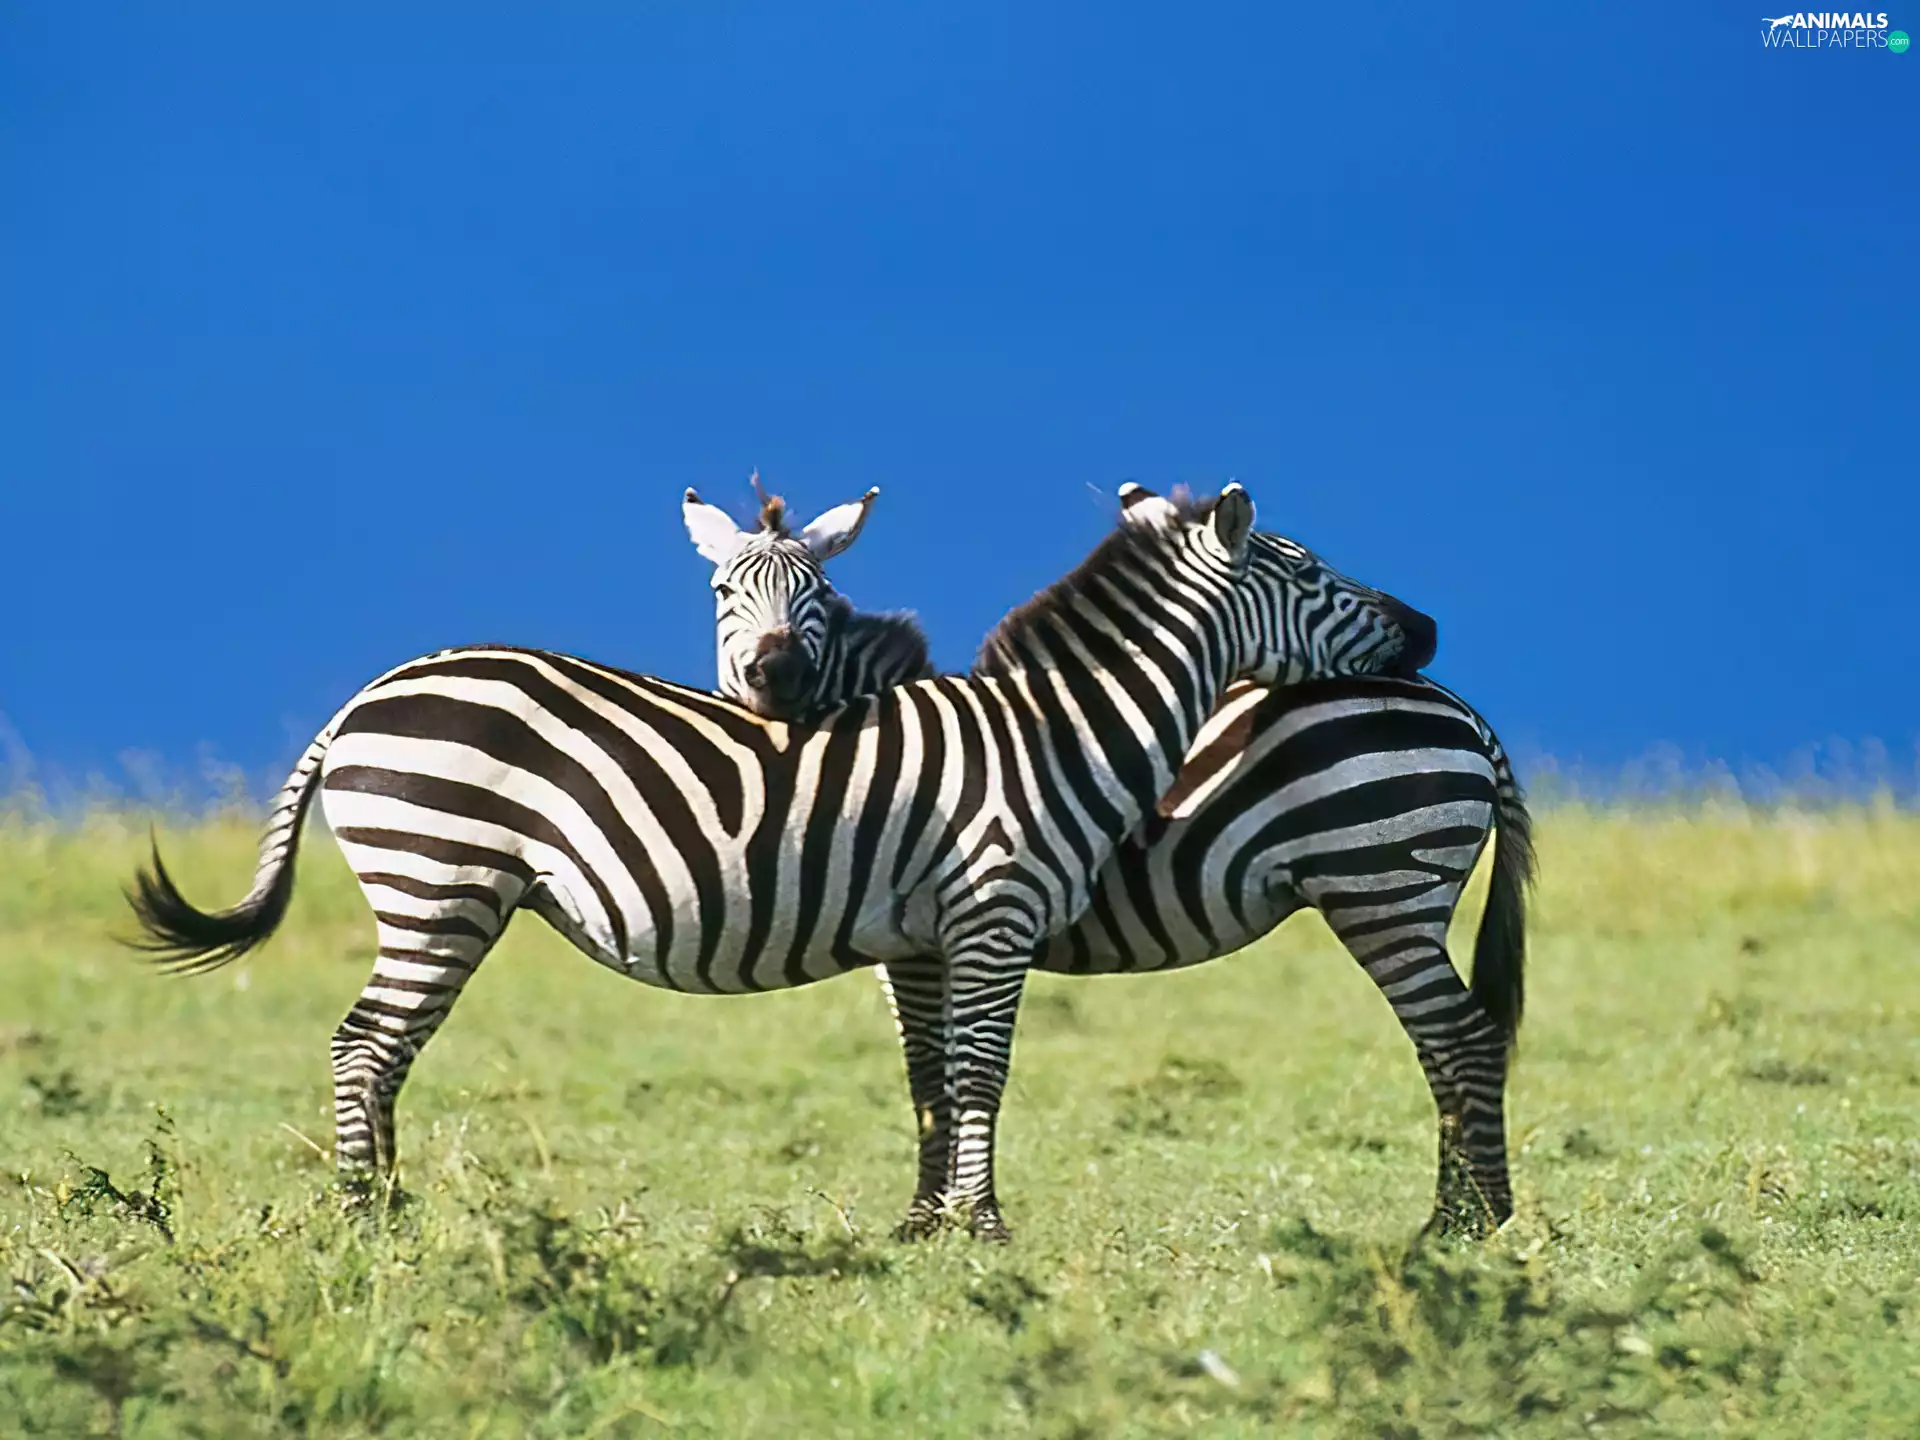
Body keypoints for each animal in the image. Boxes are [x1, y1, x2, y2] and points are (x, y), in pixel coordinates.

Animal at [127, 482, 1437, 1240]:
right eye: (1311, 573)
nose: (1427, 630)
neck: (1050, 730)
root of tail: (365, 698)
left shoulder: (929, 931)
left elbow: (937, 1076)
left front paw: (938, 1227)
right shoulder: (992, 911)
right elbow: (979, 1075)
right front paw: (985, 1231)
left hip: (445, 892)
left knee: (382, 1051)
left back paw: (388, 1208)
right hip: (438, 878)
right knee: (363, 1045)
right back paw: (365, 1220)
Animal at [694, 496, 1531, 1238]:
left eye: (819, 595)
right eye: (724, 594)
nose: (777, 678)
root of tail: (1463, 711)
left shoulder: (932, 938)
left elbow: (944, 1068)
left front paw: (935, 1220)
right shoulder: (926, 940)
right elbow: (930, 1069)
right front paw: (927, 1220)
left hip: (1382, 886)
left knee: (1461, 1038)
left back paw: (1466, 1221)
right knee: (1445, 1045)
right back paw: (1460, 1213)